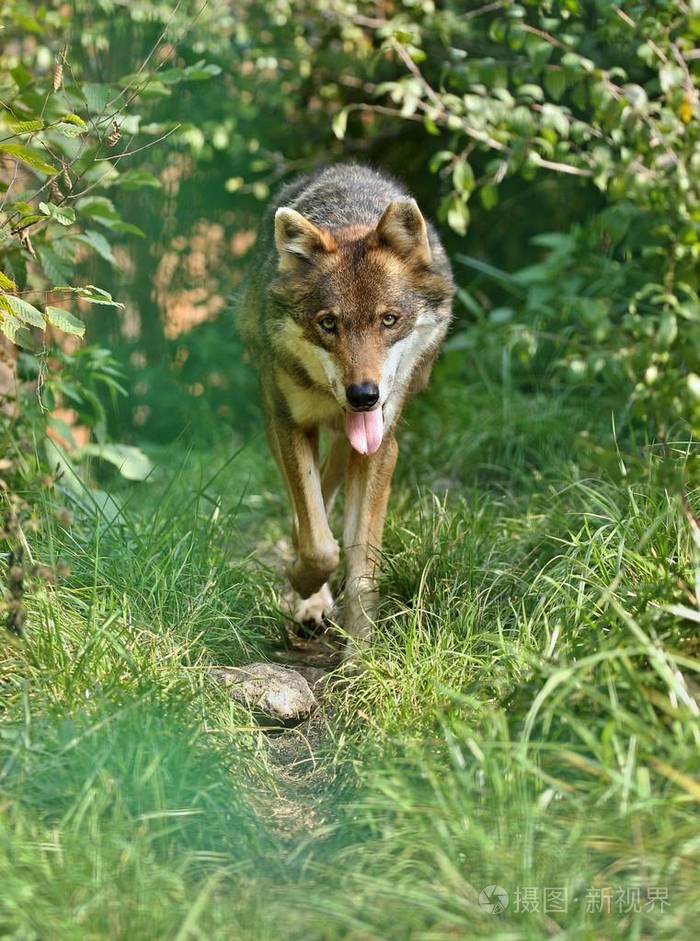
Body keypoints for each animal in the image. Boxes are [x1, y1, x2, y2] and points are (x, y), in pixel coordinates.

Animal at [238, 162, 456, 656]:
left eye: (389, 320)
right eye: (328, 324)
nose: (363, 396)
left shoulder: (381, 446)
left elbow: (361, 569)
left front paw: (360, 654)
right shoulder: (289, 425)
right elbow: (319, 543)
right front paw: (302, 583)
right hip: (275, 417)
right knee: (310, 510)